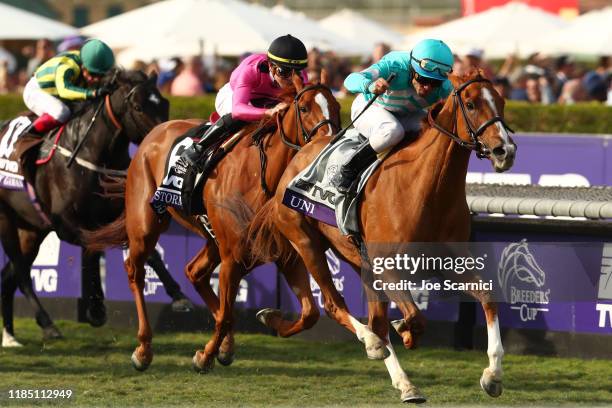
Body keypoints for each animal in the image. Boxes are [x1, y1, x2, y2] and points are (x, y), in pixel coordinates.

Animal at [0, 68, 169, 346]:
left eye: (165, 104)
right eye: (137, 106)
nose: (166, 143)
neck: (90, 156)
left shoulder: (114, 215)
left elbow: (148, 251)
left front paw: (180, 298)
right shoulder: (66, 225)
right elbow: (93, 248)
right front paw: (96, 308)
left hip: (31, 230)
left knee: (9, 276)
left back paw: (10, 336)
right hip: (6, 221)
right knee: (22, 275)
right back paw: (47, 324)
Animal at [82, 72, 340, 370]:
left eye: (336, 106)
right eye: (305, 108)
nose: (330, 144)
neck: (261, 176)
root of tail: (154, 133)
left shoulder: (283, 253)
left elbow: (309, 314)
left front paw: (266, 319)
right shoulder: (233, 256)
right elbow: (227, 315)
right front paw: (204, 356)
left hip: (212, 239)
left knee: (195, 272)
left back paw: (225, 345)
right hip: (146, 224)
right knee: (135, 270)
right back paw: (143, 349)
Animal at [247, 70, 516, 402]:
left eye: (501, 101)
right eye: (471, 103)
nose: (505, 151)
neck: (426, 189)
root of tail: (298, 156)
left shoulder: (450, 263)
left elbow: (487, 298)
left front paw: (493, 375)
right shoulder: (387, 266)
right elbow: (415, 317)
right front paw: (406, 331)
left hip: (357, 259)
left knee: (371, 319)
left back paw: (404, 383)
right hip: (305, 239)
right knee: (335, 305)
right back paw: (373, 344)